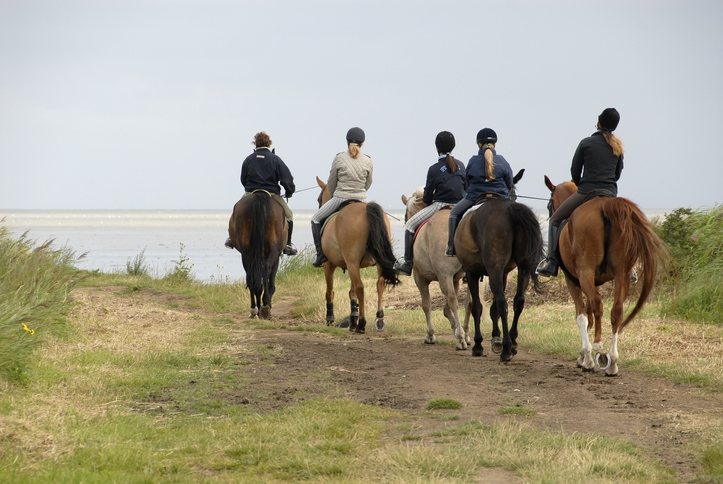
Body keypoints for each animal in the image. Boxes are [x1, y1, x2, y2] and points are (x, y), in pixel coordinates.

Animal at [228, 191, 288, 320]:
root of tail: (259, 195)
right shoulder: (277, 257)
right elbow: (271, 283)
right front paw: (267, 304)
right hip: (273, 249)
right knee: (266, 269)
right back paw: (264, 308)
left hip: (246, 252)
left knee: (251, 275)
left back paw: (255, 310)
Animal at [314, 177, 402, 332]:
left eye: (319, 198)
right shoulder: (351, 265)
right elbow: (352, 292)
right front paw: (352, 320)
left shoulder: (328, 264)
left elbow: (330, 291)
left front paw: (330, 319)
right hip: (375, 262)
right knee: (379, 283)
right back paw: (379, 318)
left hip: (351, 263)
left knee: (360, 287)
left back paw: (362, 324)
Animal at [452, 187, 544, 362]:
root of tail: (510, 209)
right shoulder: (503, 274)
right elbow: (493, 308)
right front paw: (496, 338)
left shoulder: (472, 272)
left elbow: (477, 307)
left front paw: (478, 345)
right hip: (522, 268)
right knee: (518, 301)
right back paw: (513, 342)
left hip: (492, 269)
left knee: (503, 303)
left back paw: (506, 349)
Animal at [544, 176, 668, 376]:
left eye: (549, 204)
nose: (550, 212)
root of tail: (605, 205)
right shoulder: (594, 281)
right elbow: (589, 315)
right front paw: (585, 356)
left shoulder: (574, 280)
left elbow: (582, 315)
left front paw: (585, 357)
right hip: (621, 274)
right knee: (616, 311)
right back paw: (612, 362)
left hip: (585, 271)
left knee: (597, 304)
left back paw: (597, 349)